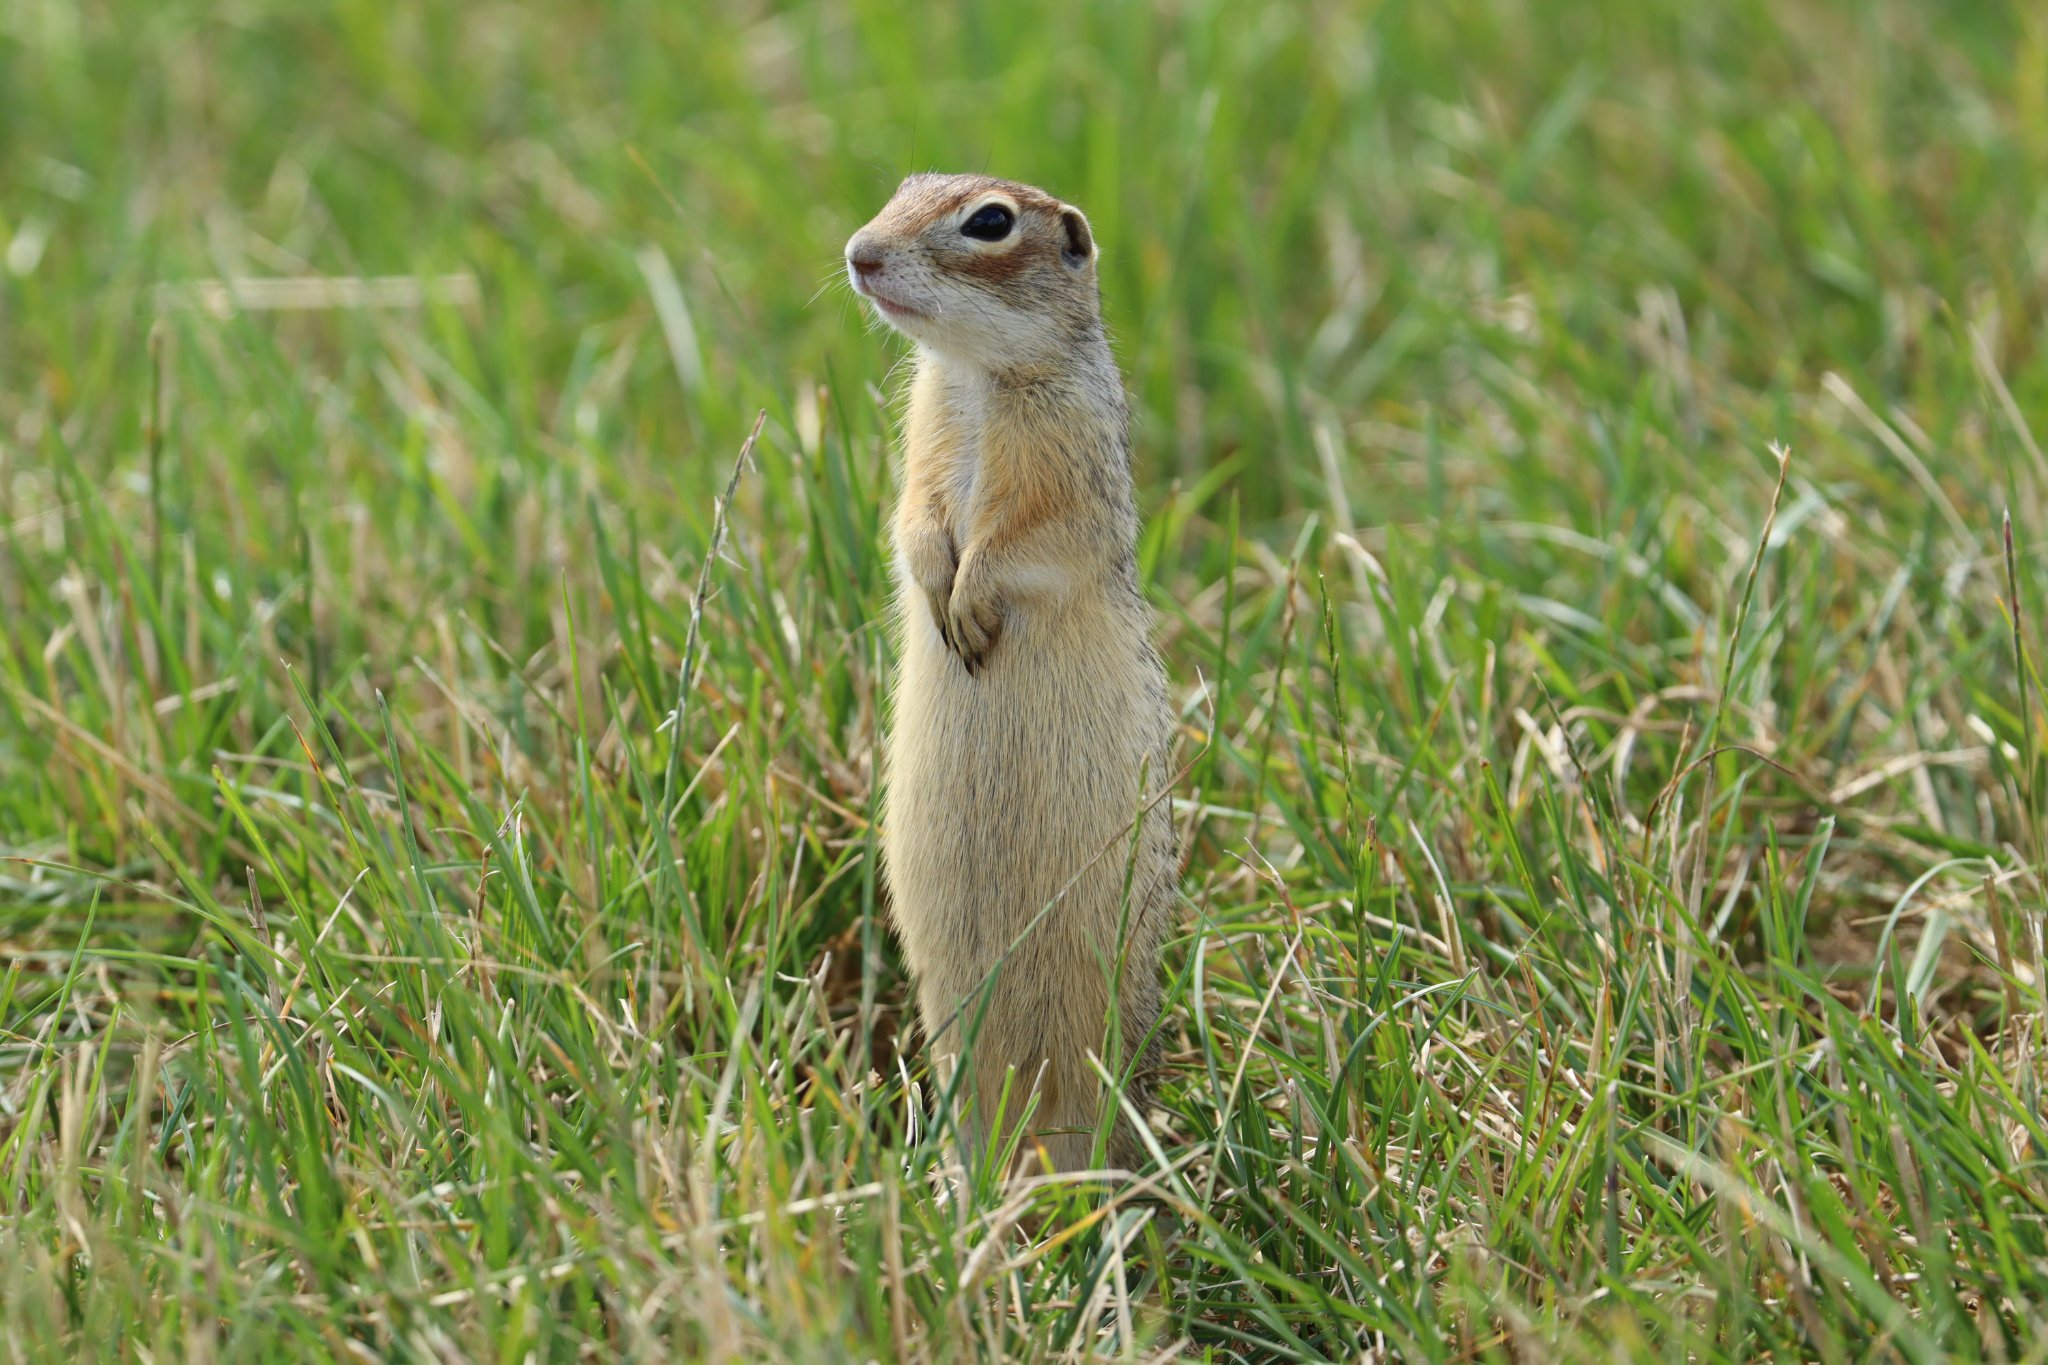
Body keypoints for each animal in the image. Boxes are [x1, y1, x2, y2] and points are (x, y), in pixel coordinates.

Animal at [839, 173, 1179, 1178]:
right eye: (902, 186)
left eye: (989, 222)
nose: (859, 254)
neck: (976, 377)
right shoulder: (924, 440)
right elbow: (914, 519)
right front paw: (939, 587)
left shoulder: (1065, 461)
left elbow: (1023, 539)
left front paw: (972, 602)